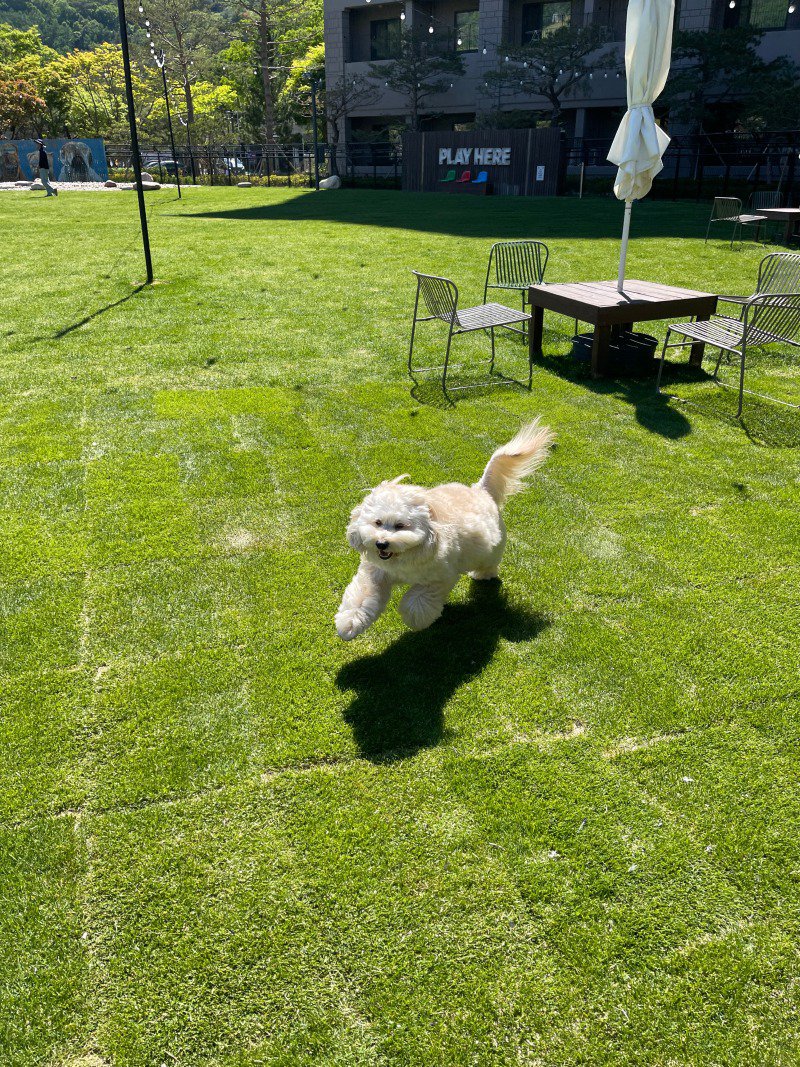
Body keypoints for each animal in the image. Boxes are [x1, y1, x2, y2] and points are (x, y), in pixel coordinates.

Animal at [334, 420, 554, 640]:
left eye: (400, 525)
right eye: (378, 522)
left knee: (489, 563)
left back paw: (483, 575)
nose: (381, 543)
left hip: (492, 551)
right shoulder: (375, 573)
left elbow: (417, 601)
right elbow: (362, 597)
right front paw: (349, 624)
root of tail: (481, 489)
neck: (402, 557)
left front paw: (415, 619)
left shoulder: (440, 578)